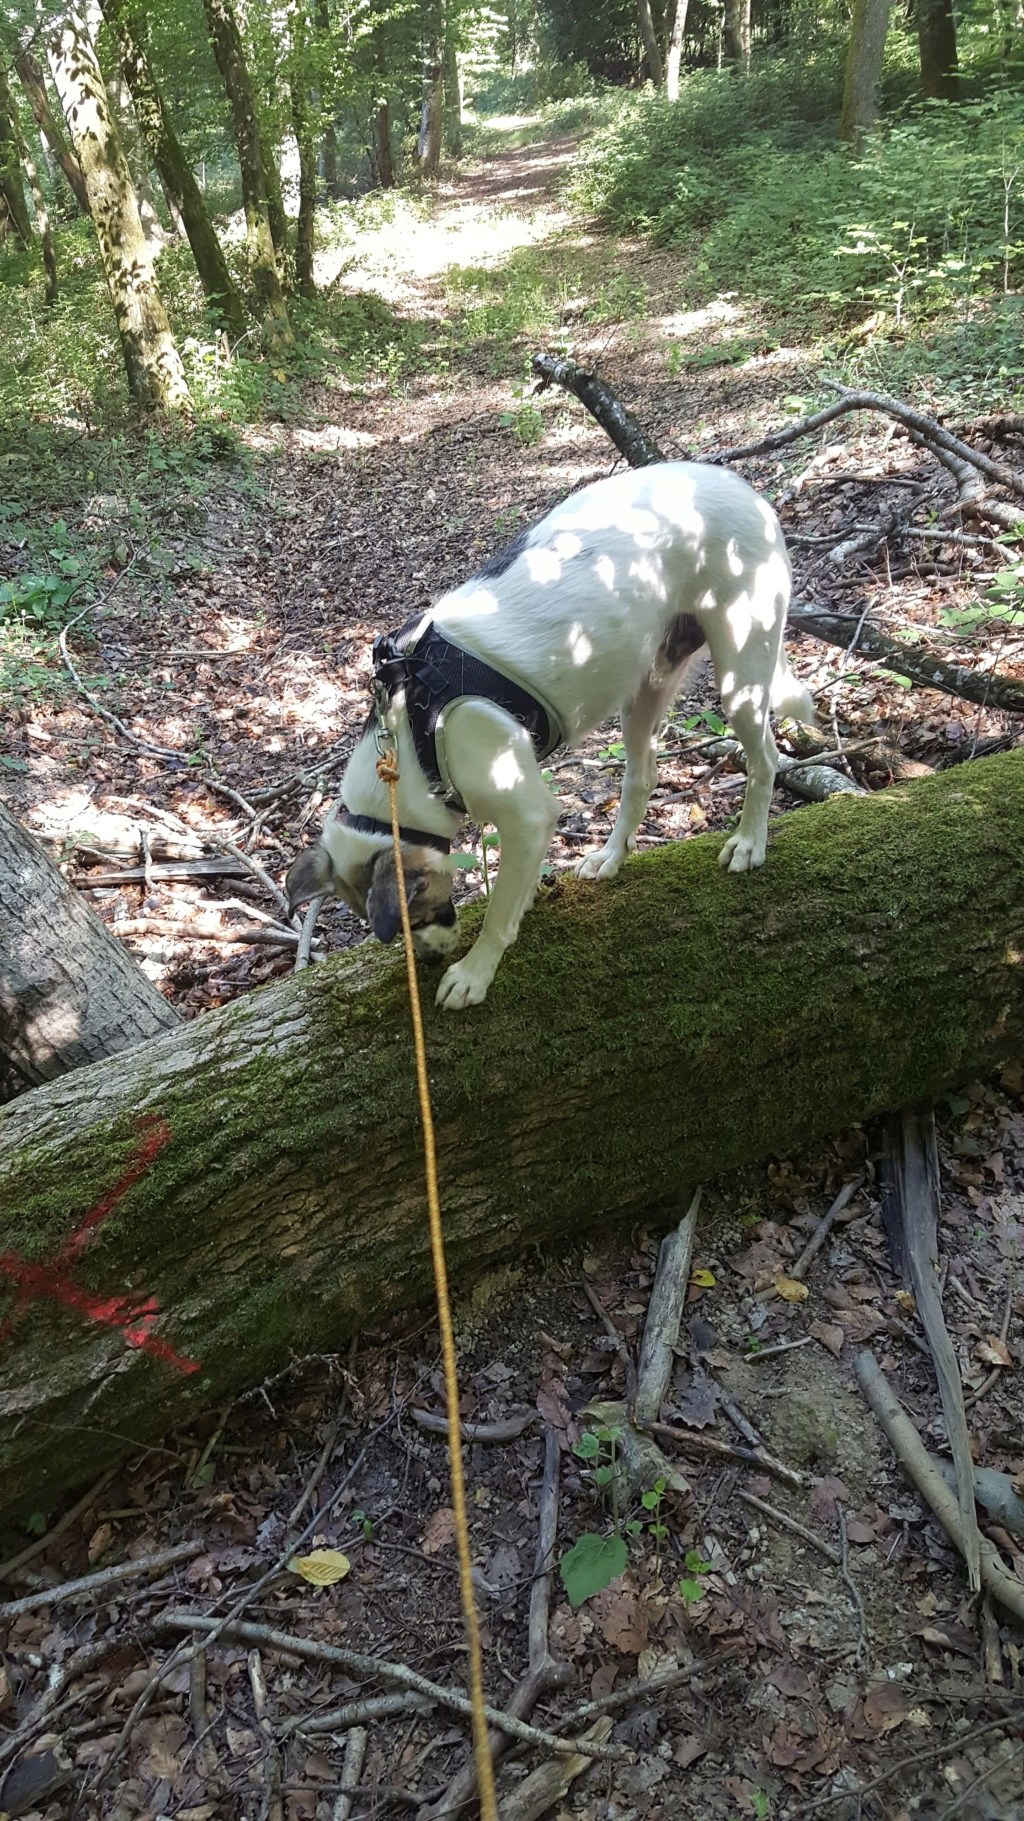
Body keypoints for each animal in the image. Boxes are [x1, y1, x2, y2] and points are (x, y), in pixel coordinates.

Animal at [282, 458, 808, 1012]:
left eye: (420, 912)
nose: (426, 960)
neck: (413, 743)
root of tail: (741, 488)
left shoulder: (528, 814)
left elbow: (497, 912)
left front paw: (475, 970)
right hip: (645, 686)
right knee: (641, 776)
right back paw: (612, 855)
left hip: (741, 666)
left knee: (765, 758)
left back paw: (749, 841)